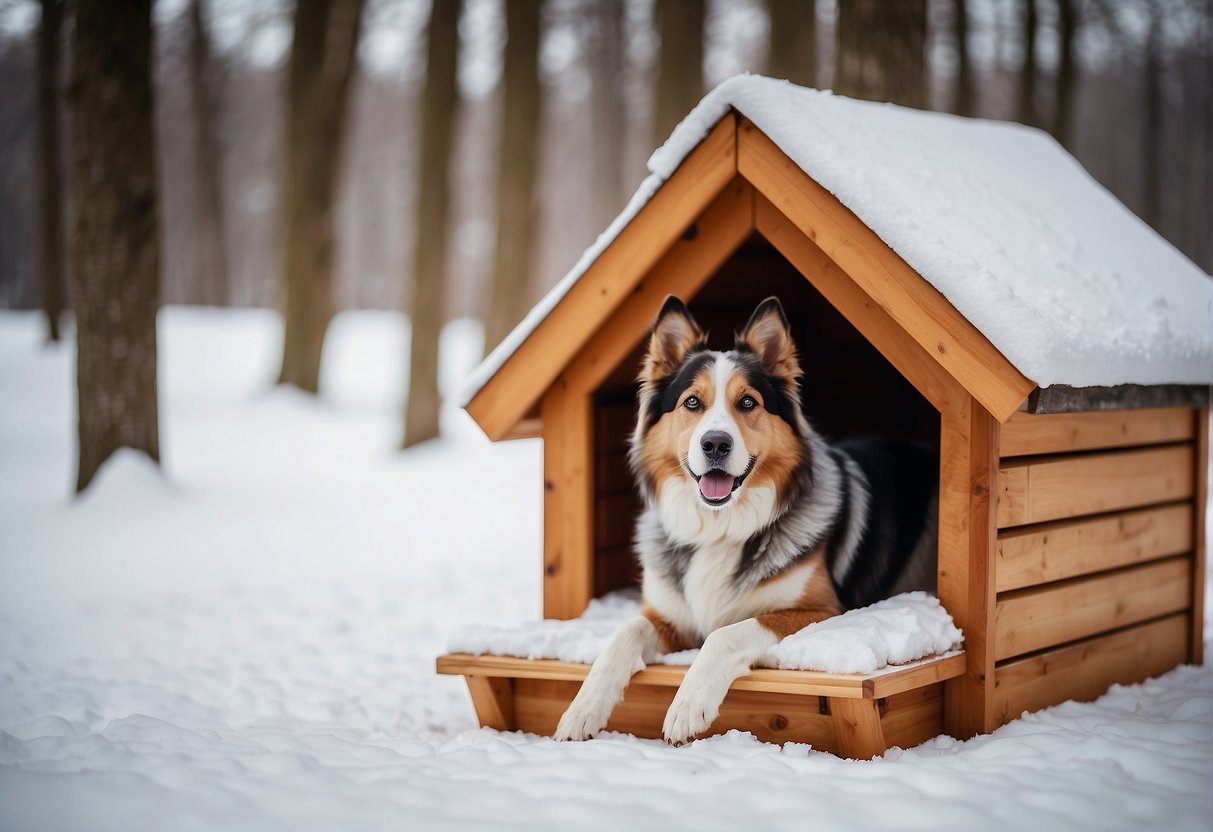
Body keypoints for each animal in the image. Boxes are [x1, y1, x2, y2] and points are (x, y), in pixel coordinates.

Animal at [553, 297, 936, 747]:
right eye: (692, 403)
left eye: (748, 403)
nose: (715, 443)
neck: (720, 525)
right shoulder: (669, 617)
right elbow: (622, 634)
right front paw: (581, 710)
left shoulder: (824, 610)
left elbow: (725, 633)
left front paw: (688, 705)